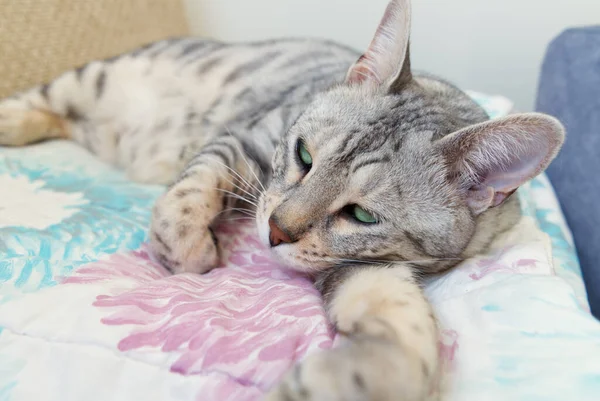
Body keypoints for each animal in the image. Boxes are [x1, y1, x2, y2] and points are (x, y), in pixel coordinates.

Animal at [0, 0, 564, 400]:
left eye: (362, 214)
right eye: (304, 154)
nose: (275, 231)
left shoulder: (373, 267)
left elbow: (405, 330)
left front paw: (345, 379)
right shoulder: (243, 139)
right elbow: (187, 197)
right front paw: (191, 253)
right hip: (95, 79)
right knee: (42, 98)